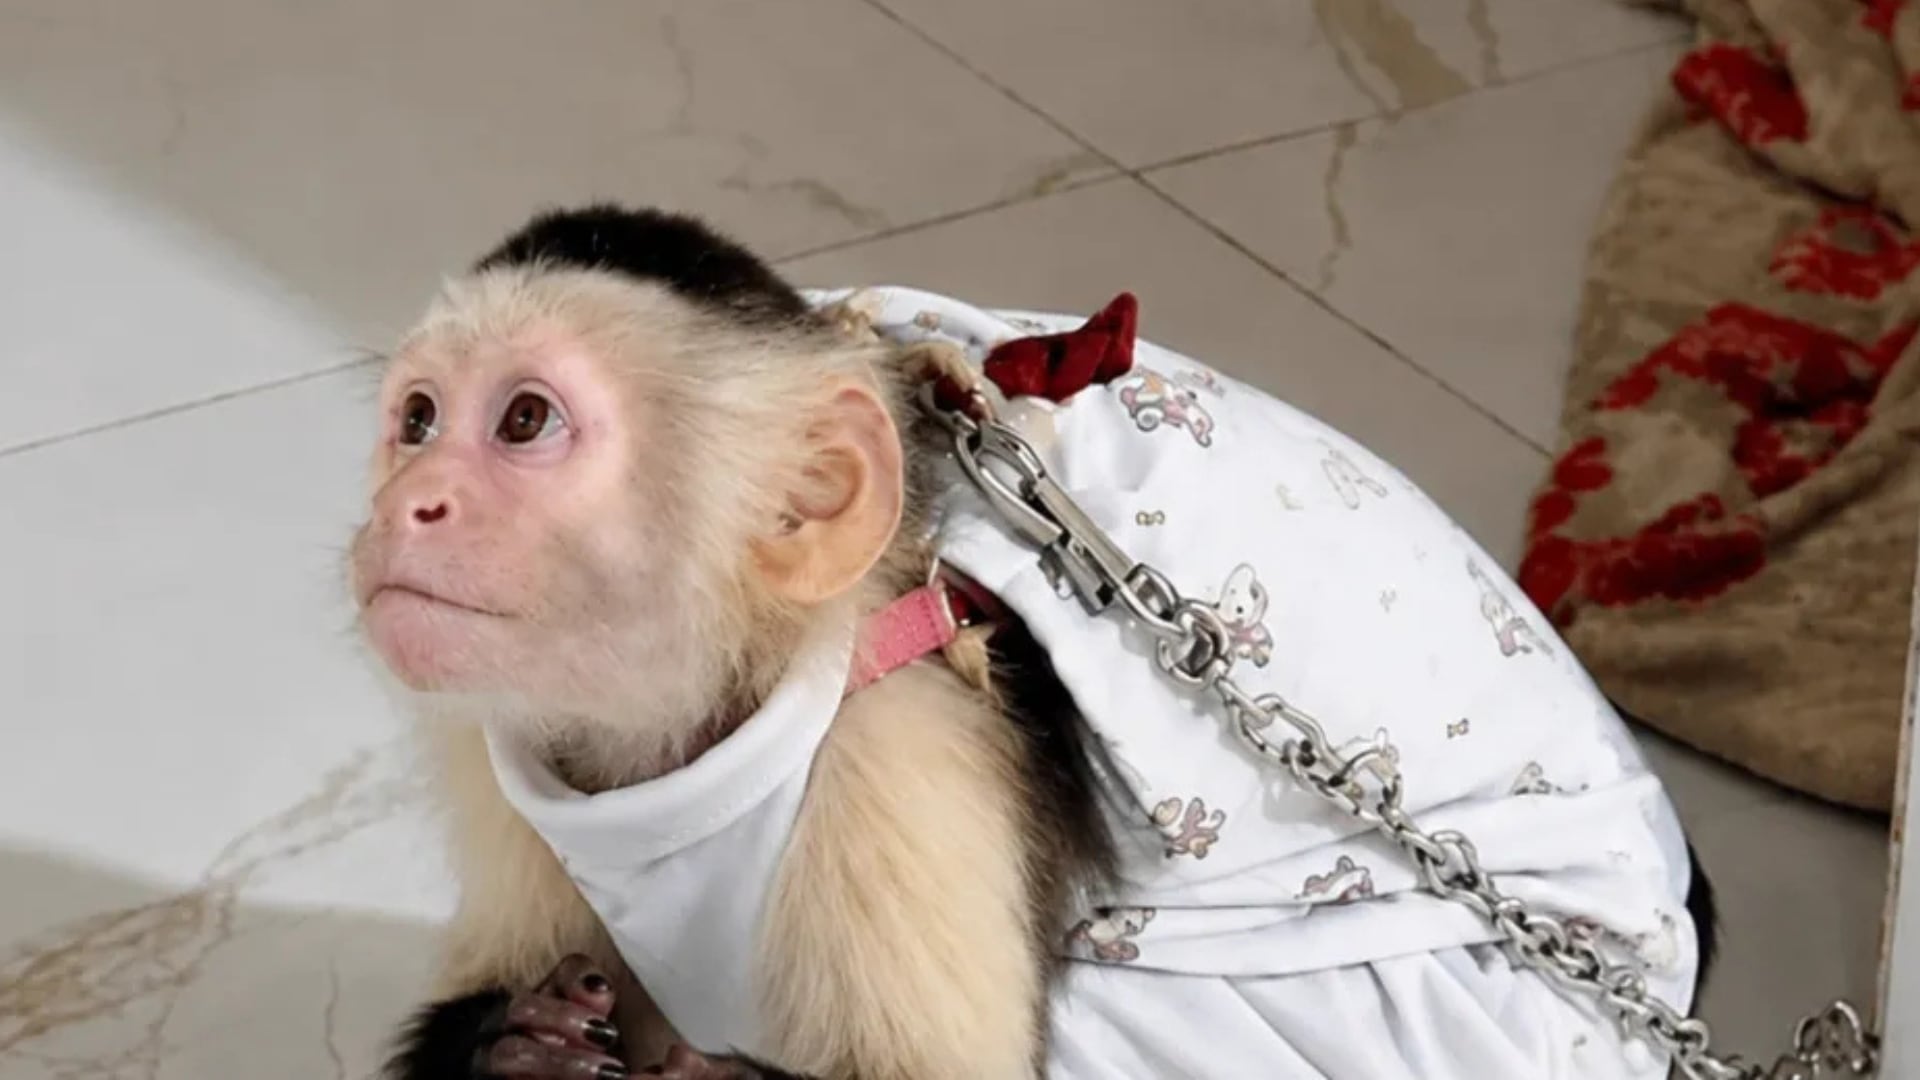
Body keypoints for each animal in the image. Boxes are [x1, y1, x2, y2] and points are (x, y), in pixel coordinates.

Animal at [352, 204, 1718, 1080]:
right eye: (416, 421)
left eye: (524, 422)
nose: (405, 506)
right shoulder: (516, 749)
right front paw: (514, 1048)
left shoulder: (907, 749)